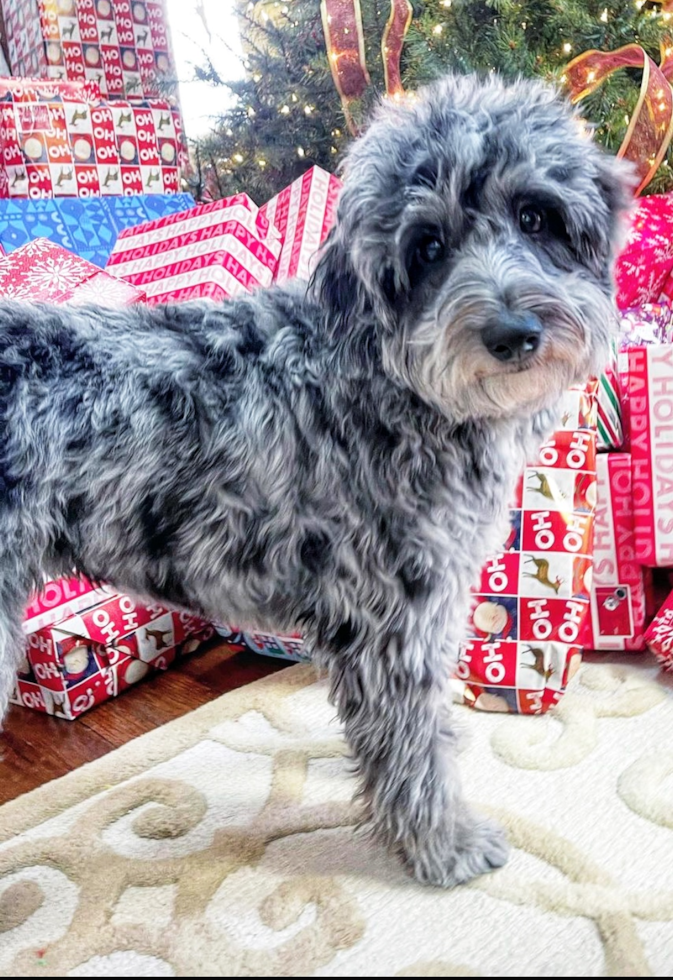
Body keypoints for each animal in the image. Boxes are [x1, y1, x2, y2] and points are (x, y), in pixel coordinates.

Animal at [0, 76, 632, 888]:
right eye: (426, 246)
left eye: (535, 214)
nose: (515, 334)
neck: (382, 380)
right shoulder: (394, 612)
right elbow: (411, 744)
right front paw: (443, 845)